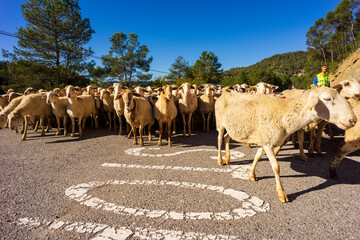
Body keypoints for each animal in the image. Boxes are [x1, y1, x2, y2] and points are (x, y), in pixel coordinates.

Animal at [215, 87, 356, 202]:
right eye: (327, 99)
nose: (353, 120)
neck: (284, 114)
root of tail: (223, 94)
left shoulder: (264, 140)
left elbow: (257, 157)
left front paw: (251, 174)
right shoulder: (268, 143)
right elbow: (276, 167)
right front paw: (281, 193)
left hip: (233, 128)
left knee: (227, 138)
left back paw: (228, 158)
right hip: (220, 123)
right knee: (220, 140)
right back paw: (220, 161)